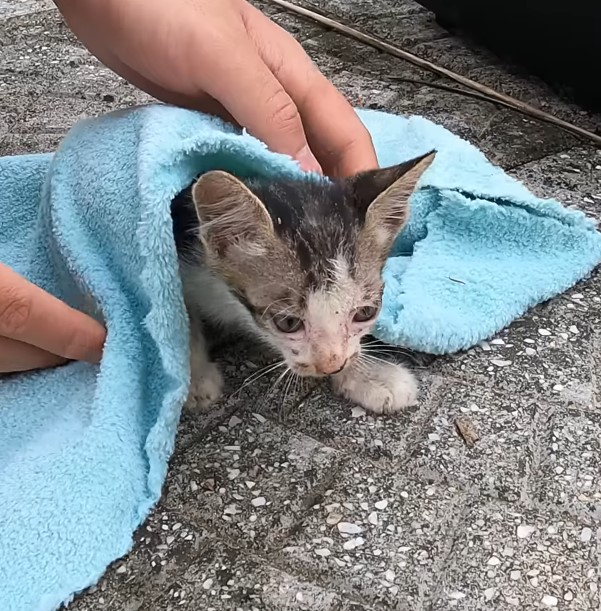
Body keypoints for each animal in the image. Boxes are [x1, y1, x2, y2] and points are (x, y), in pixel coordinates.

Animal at [171, 152, 434, 416]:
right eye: (288, 323)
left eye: (365, 313)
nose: (331, 366)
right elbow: (182, 321)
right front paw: (195, 379)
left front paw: (371, 375)